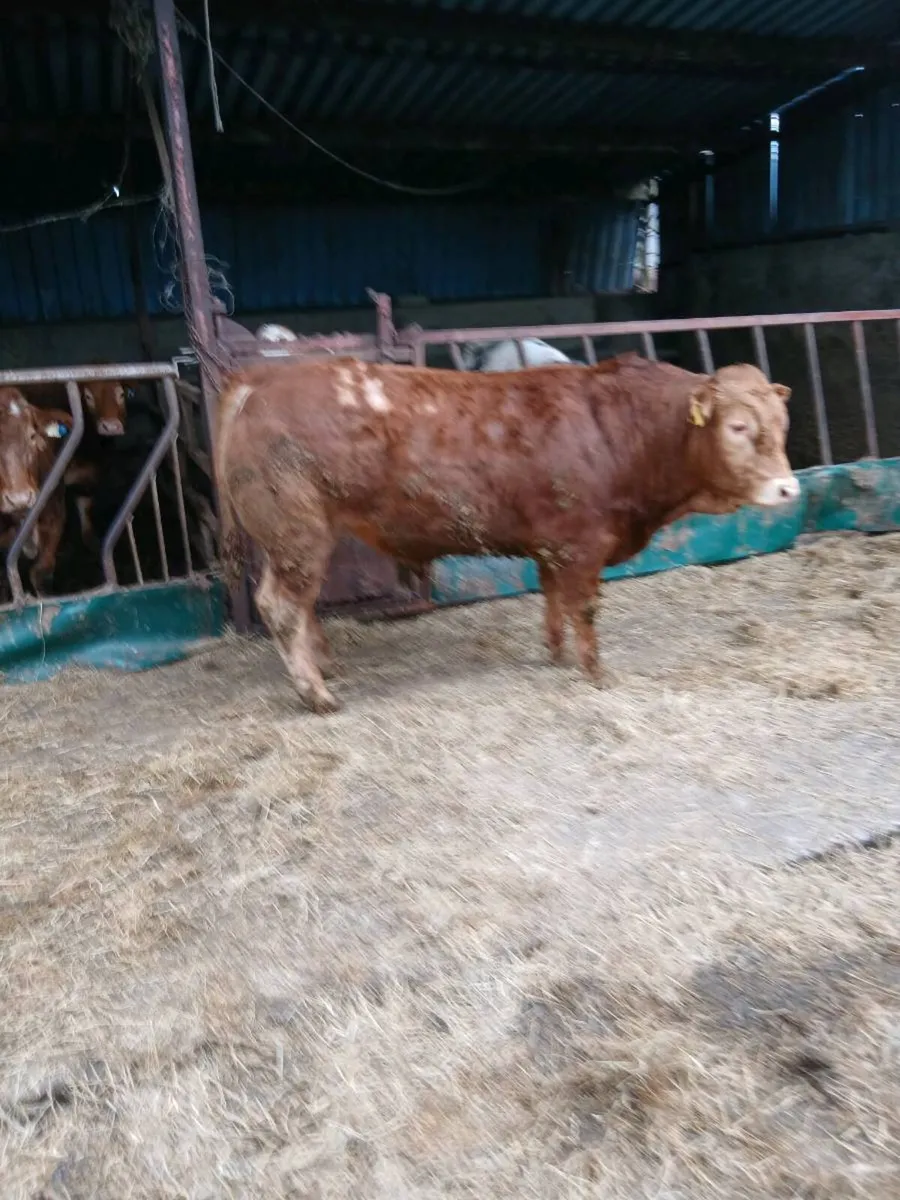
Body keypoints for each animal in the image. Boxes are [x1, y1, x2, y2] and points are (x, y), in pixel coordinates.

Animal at [215, 352, 798, 714]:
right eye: (739, 426)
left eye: (783, 423)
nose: (789, 488)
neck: (620, 427)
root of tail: (257, 379)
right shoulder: (581, 543)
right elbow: (583, 607)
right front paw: (595, 672)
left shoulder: (553, 544)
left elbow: (553, 598)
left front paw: (556, 652)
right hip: (296, 530)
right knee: (282, 606)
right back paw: (316, 694)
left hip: (298, 538)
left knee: (302, 604)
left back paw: (326, 666)